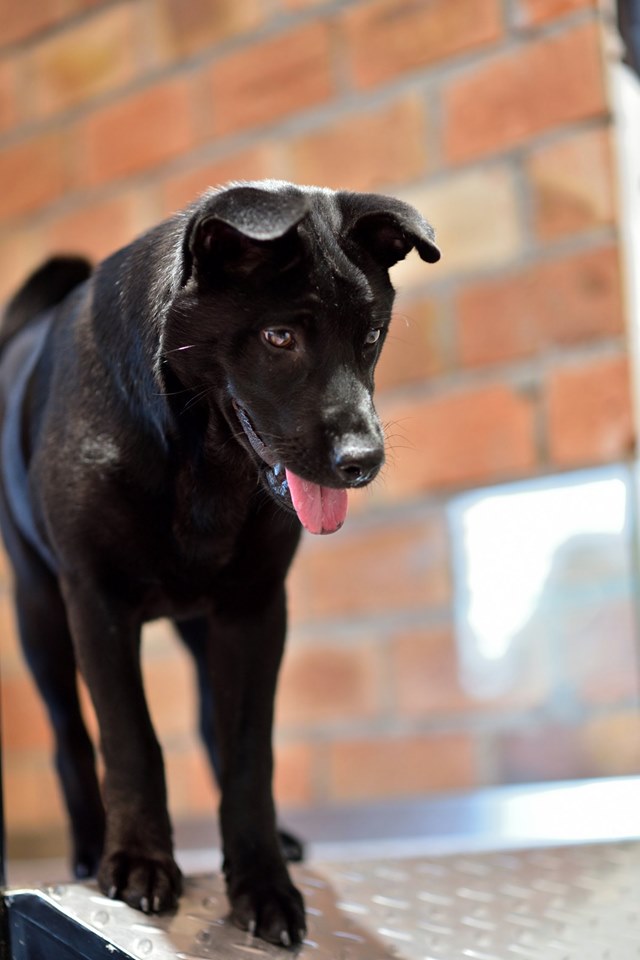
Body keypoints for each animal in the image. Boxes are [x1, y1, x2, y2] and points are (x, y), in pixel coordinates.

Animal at [0, 180, 439, 946]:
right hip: (40, 615)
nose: (363, 462)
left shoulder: (254, 609)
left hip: (202, 624)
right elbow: (129, 738)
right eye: (279, 337)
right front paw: (139, 861)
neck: (199, 455)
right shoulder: (97, 601)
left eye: (372, 337)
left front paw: (262, 880)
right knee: (69, 735)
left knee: (212, 722)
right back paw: (89, 843)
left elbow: (247, 750)